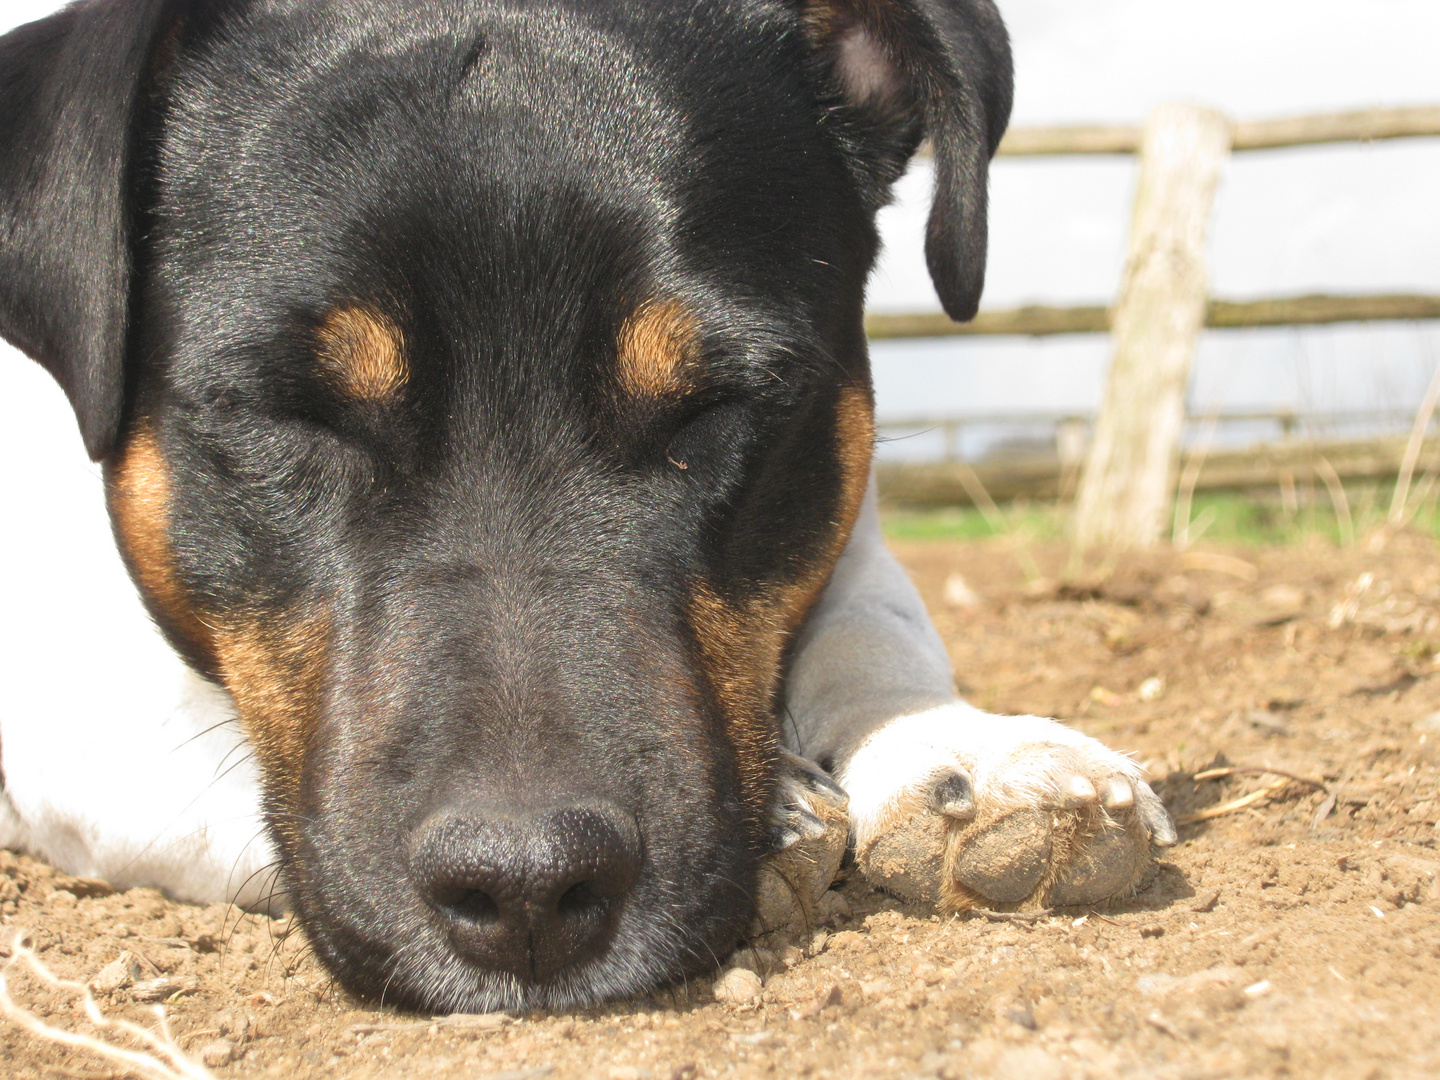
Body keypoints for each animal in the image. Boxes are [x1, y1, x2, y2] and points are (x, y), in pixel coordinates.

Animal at [0, 0, 1169, 1013]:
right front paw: (794, 809)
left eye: (717, 403)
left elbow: (879, 625)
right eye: (288, 412)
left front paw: (965, 755)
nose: (530, 891)